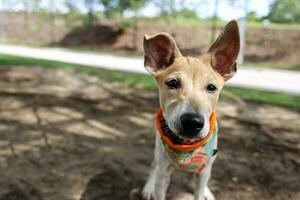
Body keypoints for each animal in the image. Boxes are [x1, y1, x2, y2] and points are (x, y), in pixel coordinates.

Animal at [142, 19, 240, 200]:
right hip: (158, 156)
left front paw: (204, 192)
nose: (193, 122)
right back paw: (148, 187)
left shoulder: (203, 170)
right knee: (153, 165)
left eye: (211, 87)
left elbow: (200, 189)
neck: (187, 147)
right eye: (172, 83)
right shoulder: (163, 173)